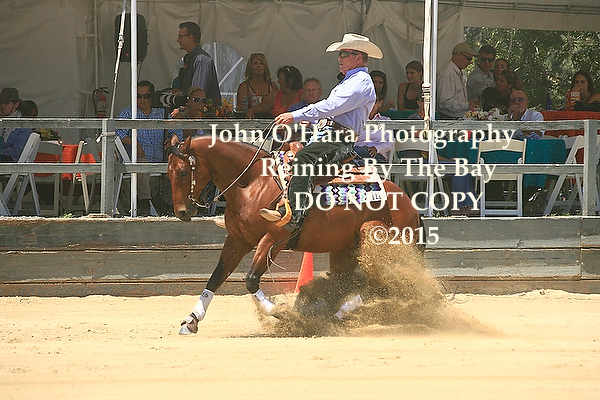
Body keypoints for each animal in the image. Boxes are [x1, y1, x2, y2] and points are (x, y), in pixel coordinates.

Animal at [168, 134, 423, 334]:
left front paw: (280, 312)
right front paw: (192, 320)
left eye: (183, 172)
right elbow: (217, 276)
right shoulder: (238, 240)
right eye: (169, 172)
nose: (182, 212)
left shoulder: (274, 239)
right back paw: (328, 315)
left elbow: (251, 279)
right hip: (344, 250)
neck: (252, 182)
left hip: (374, 239)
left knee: (379, 287)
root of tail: (411, 206)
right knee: (347, 283)